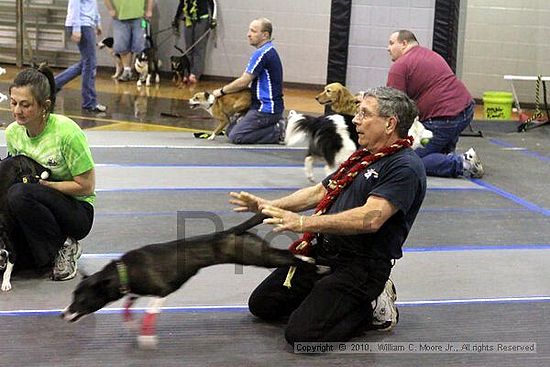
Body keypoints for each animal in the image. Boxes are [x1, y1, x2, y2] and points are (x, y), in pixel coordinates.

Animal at [0, 156, 49, 294]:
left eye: (2, 243)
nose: (3, 254)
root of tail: (19, 157)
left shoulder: (11, 251)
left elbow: (7, 271)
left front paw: (5, 284)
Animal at [62, 213, 316, 348]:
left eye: (82, 300)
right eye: (73, 296)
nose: (63, 314)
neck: (123, 271)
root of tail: (232, 231)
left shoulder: (162, 291)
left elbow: (150, 313)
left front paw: (146, 337)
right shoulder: (133, 292)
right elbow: (127, 308)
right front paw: (130, 325)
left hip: (255, 256)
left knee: (285, 256)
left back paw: (310, 260)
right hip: (257, 251)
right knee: (284, 254)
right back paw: (307, 257)